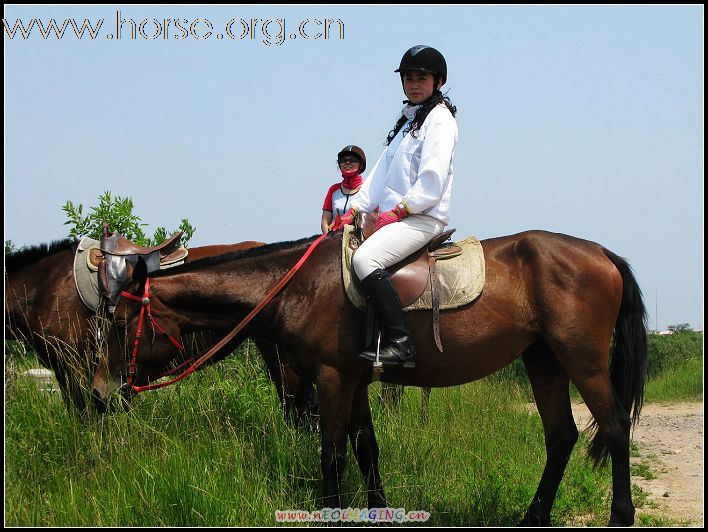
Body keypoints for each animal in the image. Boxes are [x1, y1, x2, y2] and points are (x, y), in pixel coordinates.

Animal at [92, 231, 648, 524]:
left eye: (119, 325)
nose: (99, 394)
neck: (299, 287)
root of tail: (601, 254)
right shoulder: (356, 381)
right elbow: (366, 451)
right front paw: (377, 510)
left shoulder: (333, 378)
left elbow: (333, 456)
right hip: (544, 361)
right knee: (561, 436)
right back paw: (534, 516)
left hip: (582, 361)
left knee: (615, 427)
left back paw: (621, 514)